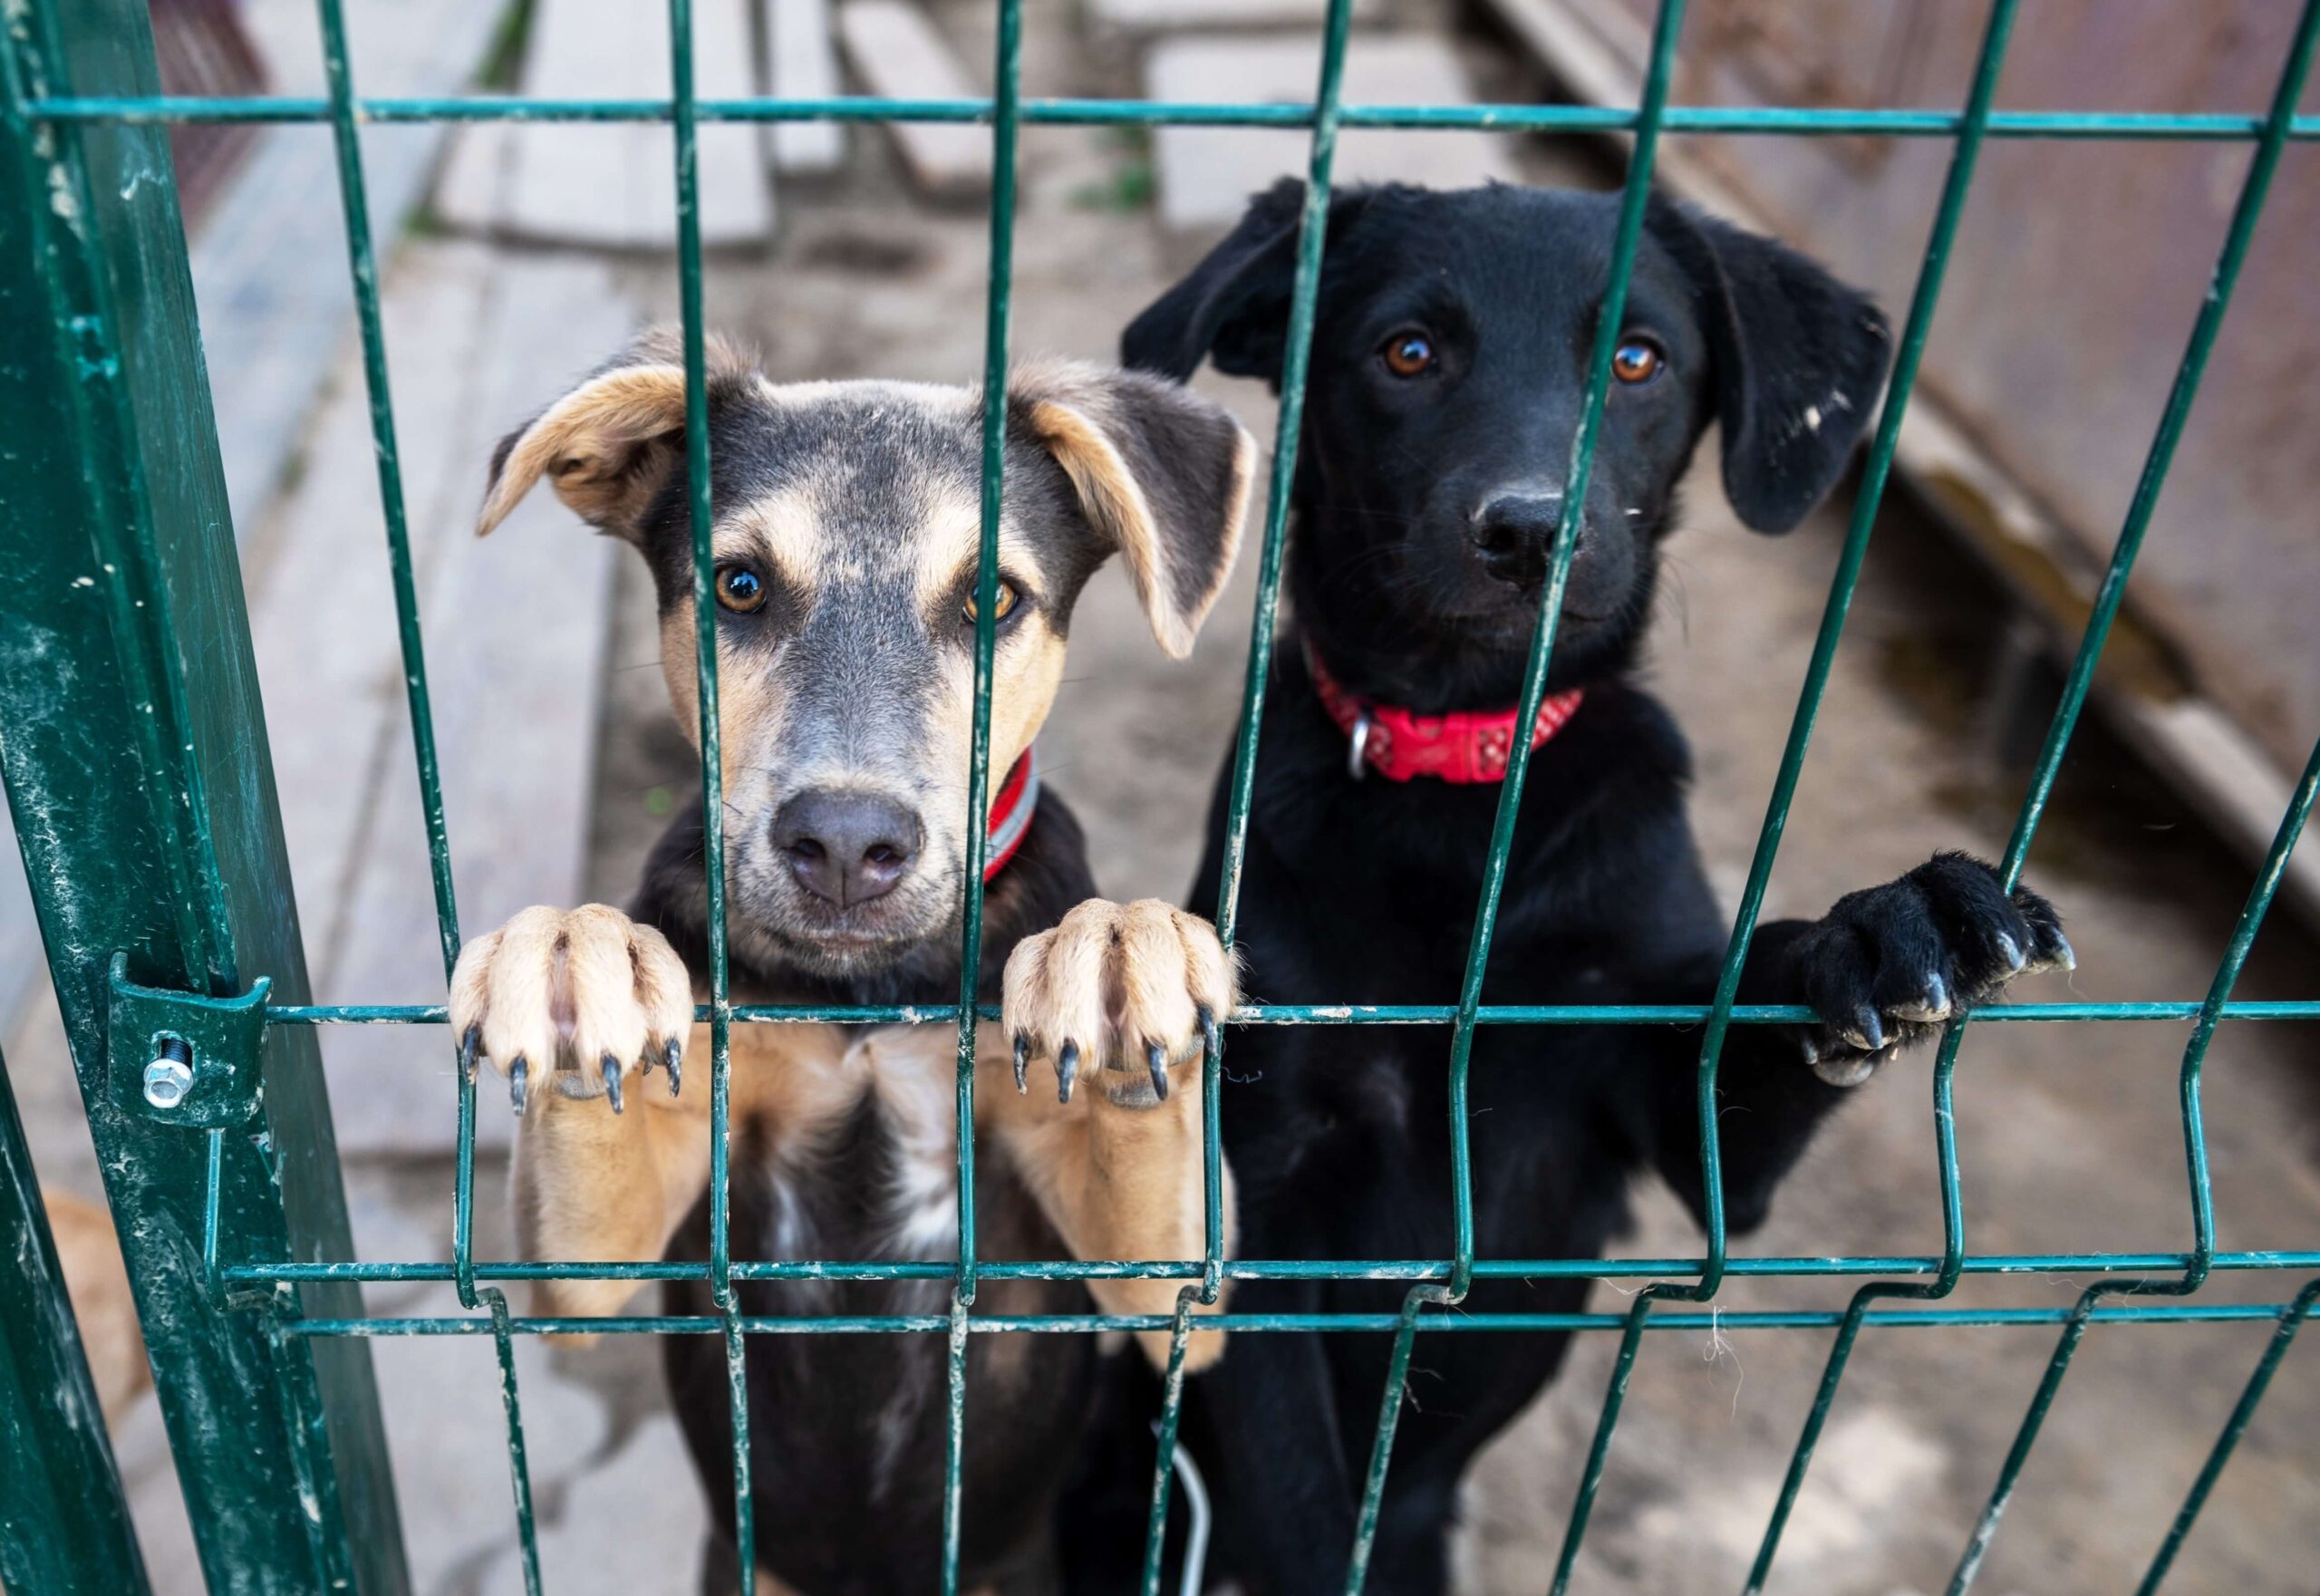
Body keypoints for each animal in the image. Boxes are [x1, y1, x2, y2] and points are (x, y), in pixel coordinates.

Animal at [448, 329, 1252, 1586]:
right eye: (738, 585)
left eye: (991, 598)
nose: (841, 845)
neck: (866, 992)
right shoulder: (591, 1263)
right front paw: (576, 959)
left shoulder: (1167, 1293)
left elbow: (1158, 1183)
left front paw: (1124, 954)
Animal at [1062, 177, 2078, 1596]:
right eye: (1407, 352)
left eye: (1639, 361)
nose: (1531, 531)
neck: (1466, 790)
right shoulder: (1259, 1209)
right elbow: (1306, 1509)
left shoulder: (1674, 1112)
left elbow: (1754, 1014)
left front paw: (1885, 926)